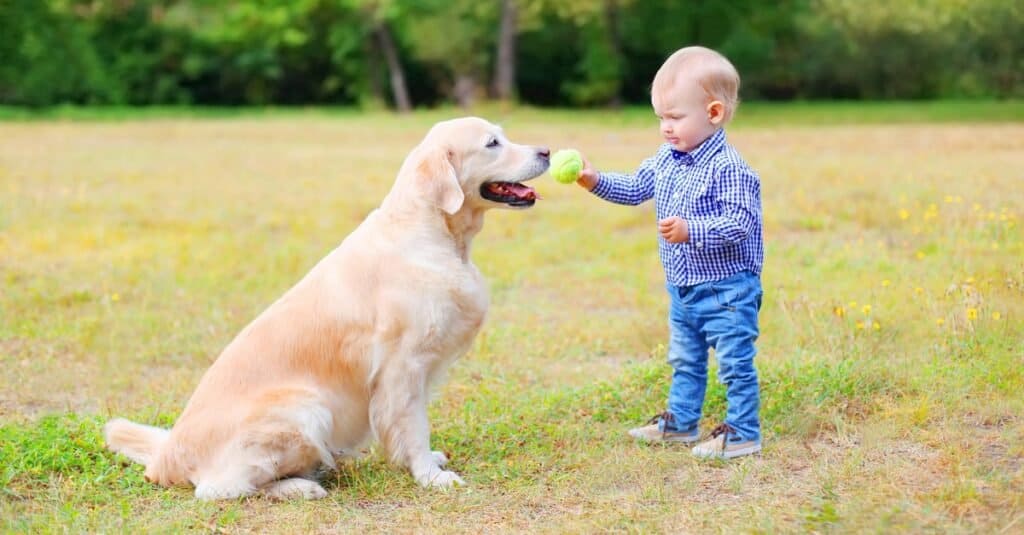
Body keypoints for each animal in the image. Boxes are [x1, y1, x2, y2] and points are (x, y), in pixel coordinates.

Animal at [102, 116, 548, 500]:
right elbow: (413, 425)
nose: (545, 150)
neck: (433, 233)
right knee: (219, 488)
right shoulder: (403, 366)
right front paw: (430, 476)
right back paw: (301, 487)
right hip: (305, 409)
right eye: (492, 143)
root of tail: (166, 456)